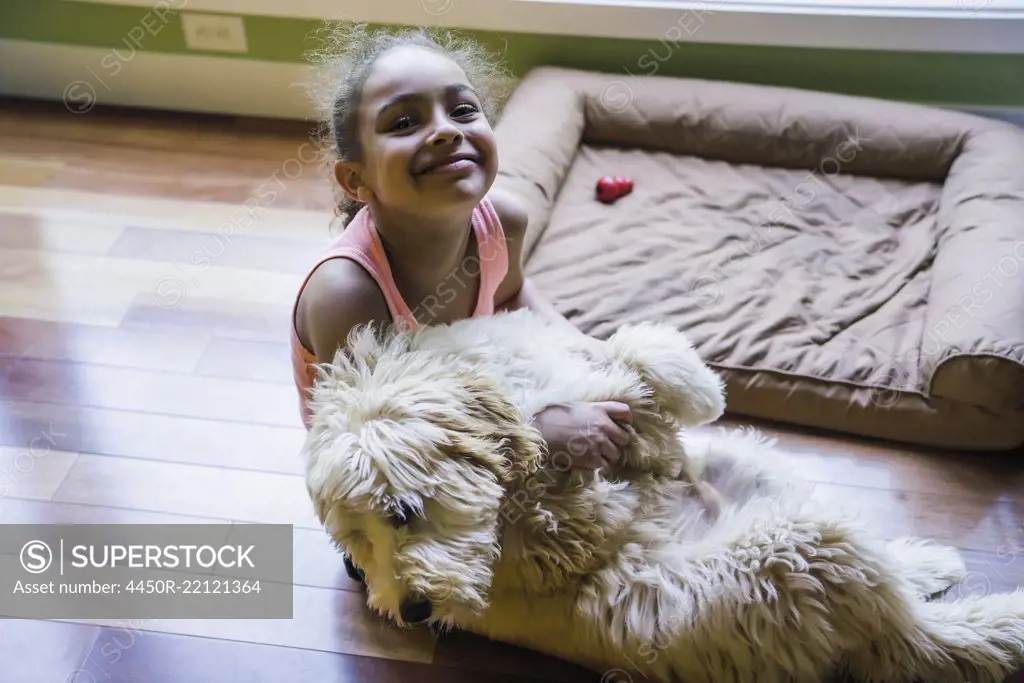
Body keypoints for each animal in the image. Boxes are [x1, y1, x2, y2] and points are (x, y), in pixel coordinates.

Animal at [303, 311, 1024, 683]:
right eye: (359, 551)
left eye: (401, 513)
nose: (412, 610)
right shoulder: (561, 525)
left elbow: (637, 356)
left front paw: (685, 390)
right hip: (798, 552)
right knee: (913, 633)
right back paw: (991, 618)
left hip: (755, 471)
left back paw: (927, 564)